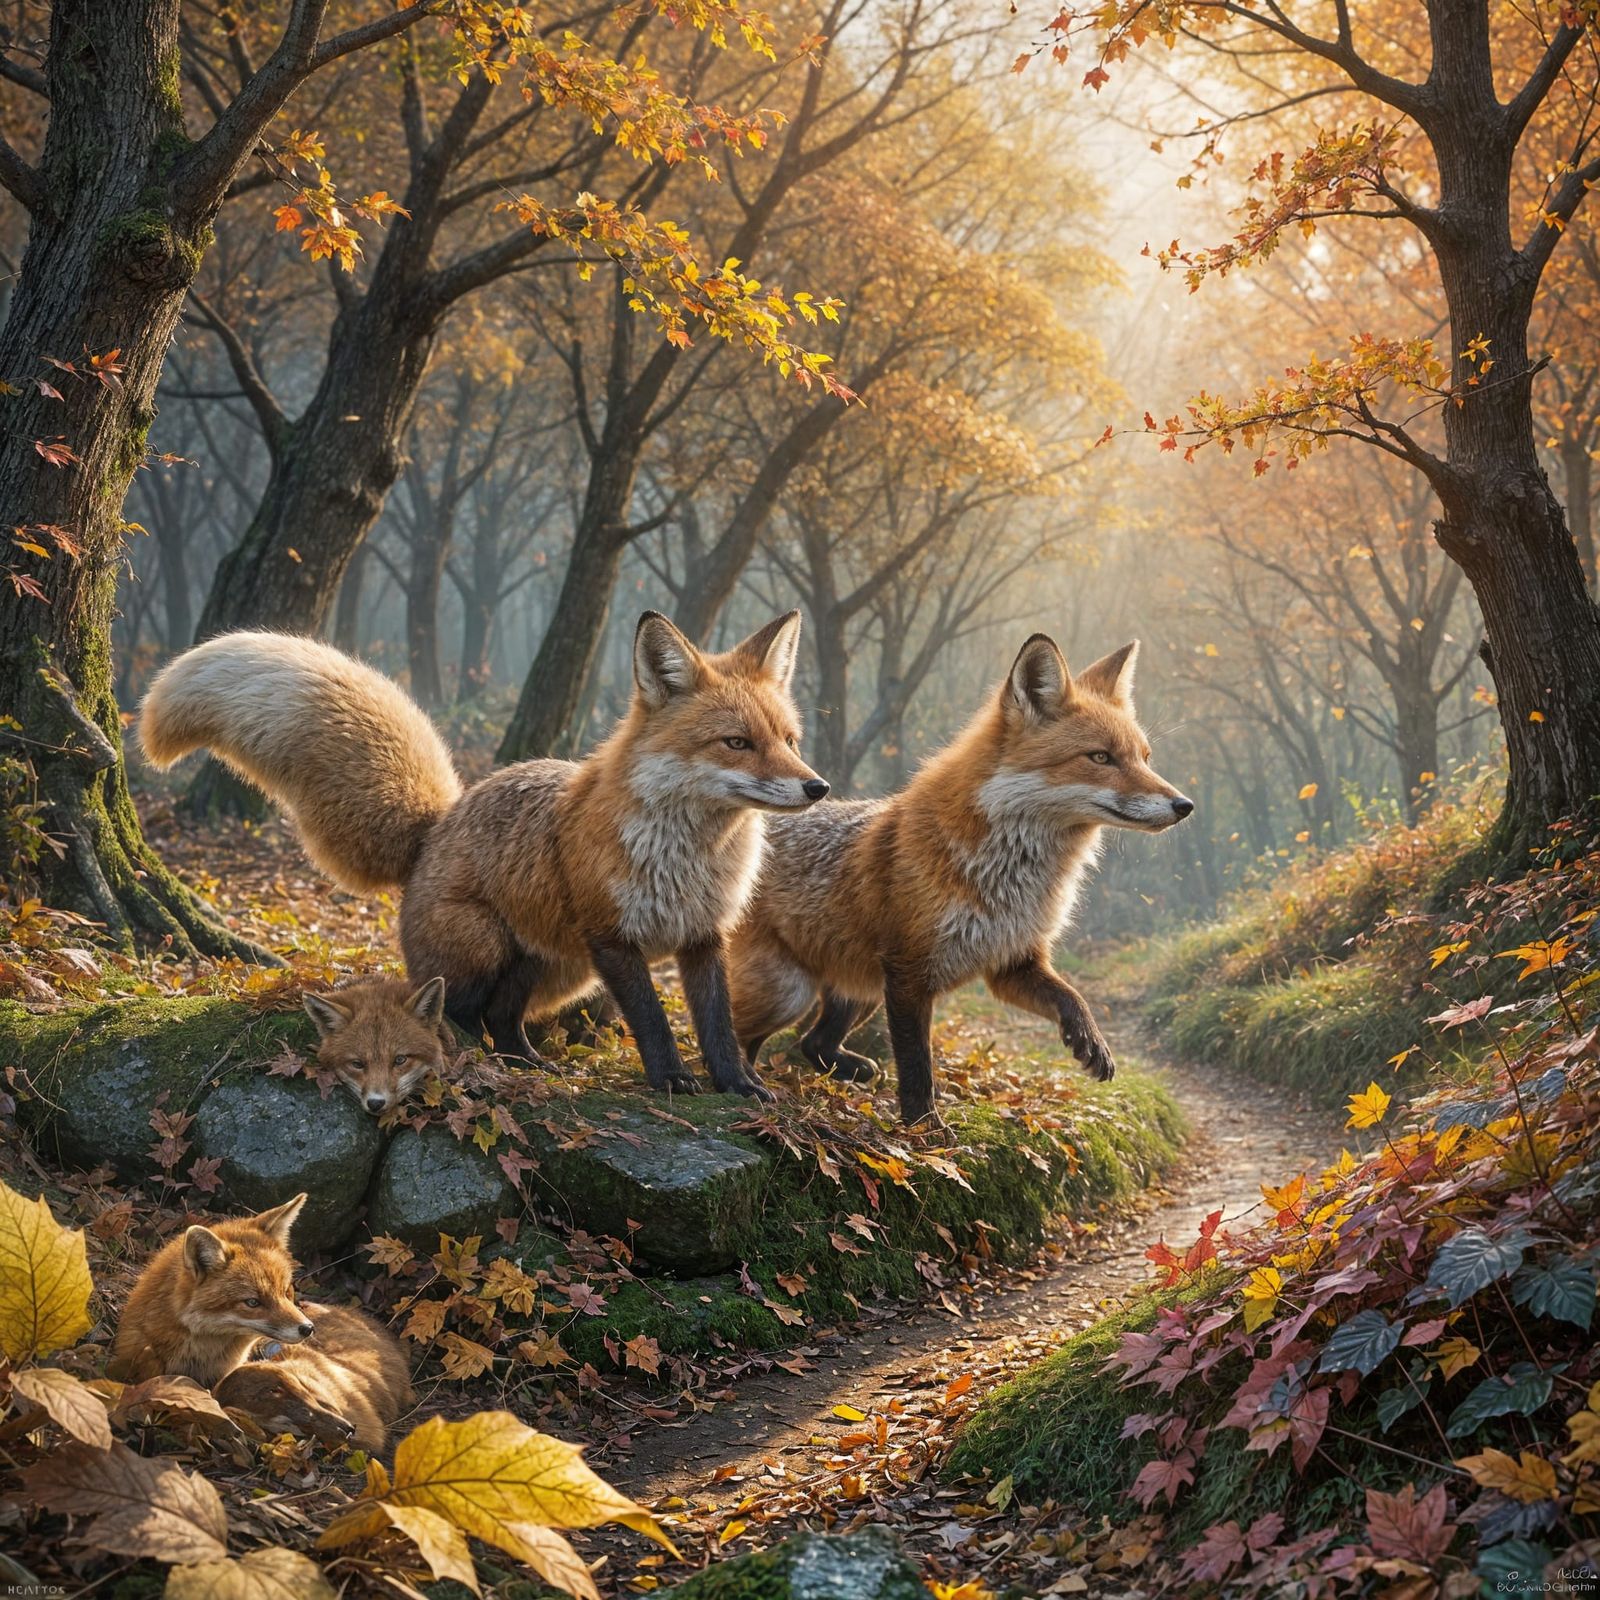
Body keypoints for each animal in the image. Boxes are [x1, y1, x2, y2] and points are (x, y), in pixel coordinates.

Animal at [726, 636, 1195, 1125]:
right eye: (1101, 757)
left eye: (1145, 758)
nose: (1185, 805)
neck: (1008, 879)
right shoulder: (909, 972)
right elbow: (917, 1066)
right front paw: (924, 1129)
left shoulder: (1013, 961)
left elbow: (1072, 996)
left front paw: (1091, 1041)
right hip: (790, 991)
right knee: (739, 1034)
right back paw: (739, 1082)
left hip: (862, 988)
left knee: (811, 1042)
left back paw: (848, 1070)